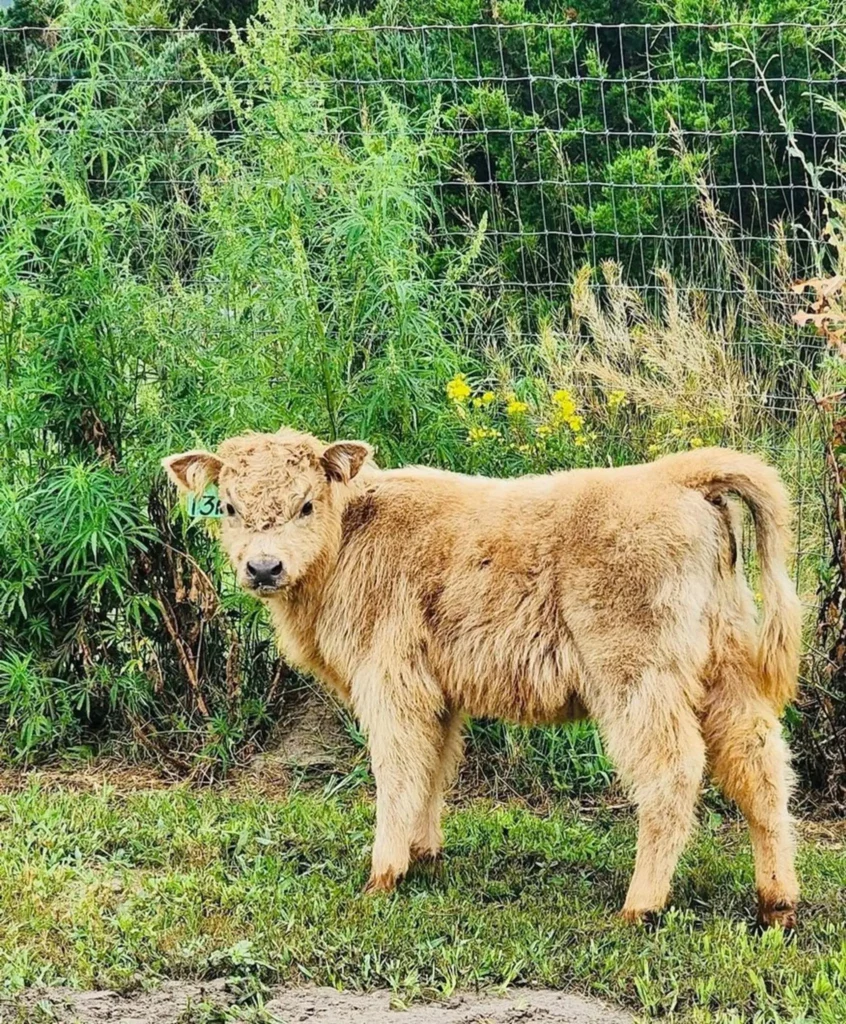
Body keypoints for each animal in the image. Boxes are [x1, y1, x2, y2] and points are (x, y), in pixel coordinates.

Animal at [163, 428, 801, 927]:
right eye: (228, 507)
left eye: (305, 505)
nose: (263, 567)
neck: (351, 539)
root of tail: (676, 475)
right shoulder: (438, 692)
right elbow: (434, 768)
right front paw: (424, 856)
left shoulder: (390, 683)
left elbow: (397, 772)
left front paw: (383, 874)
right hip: (726, 669)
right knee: (759, 765)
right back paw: (776, 903)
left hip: (638, 675)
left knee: (673, 772)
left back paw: (639, 905)